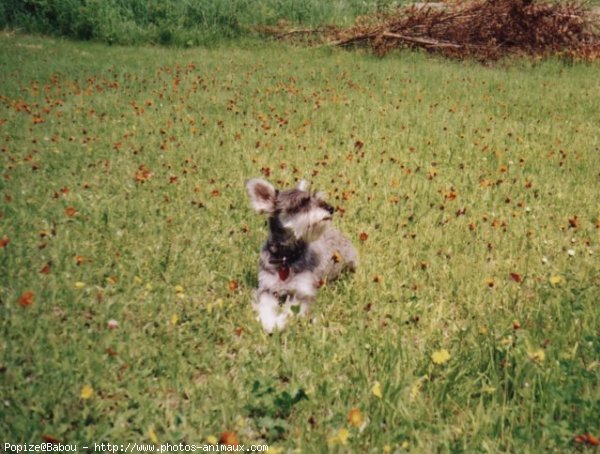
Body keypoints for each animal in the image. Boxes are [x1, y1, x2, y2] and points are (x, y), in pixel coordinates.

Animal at [245, 178, 356, 334]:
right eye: (302, 203)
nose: (330, 208)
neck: (285, 258)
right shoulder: (266, 289)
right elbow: (265, 306)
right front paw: (269, 322)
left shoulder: (302, 292)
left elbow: (290, 310)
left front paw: (279, 322)